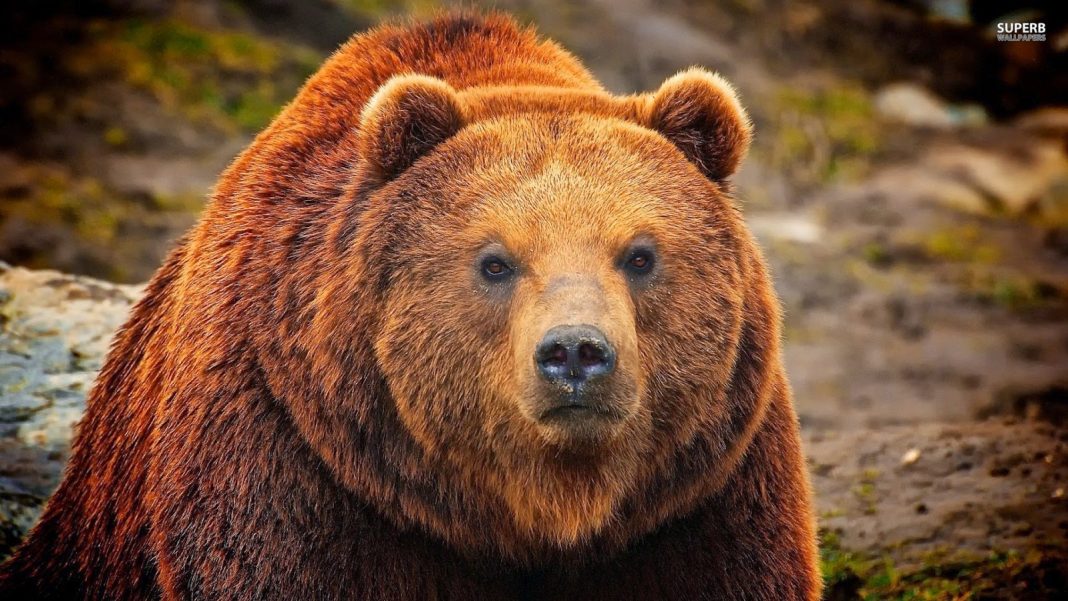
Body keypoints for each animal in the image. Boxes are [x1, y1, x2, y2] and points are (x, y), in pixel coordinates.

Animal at [0, 12, 820, 600]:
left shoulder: (696, 496)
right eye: (495, 261)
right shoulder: (295, 465)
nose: (575, 354)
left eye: (641, 254)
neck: (533, 512)